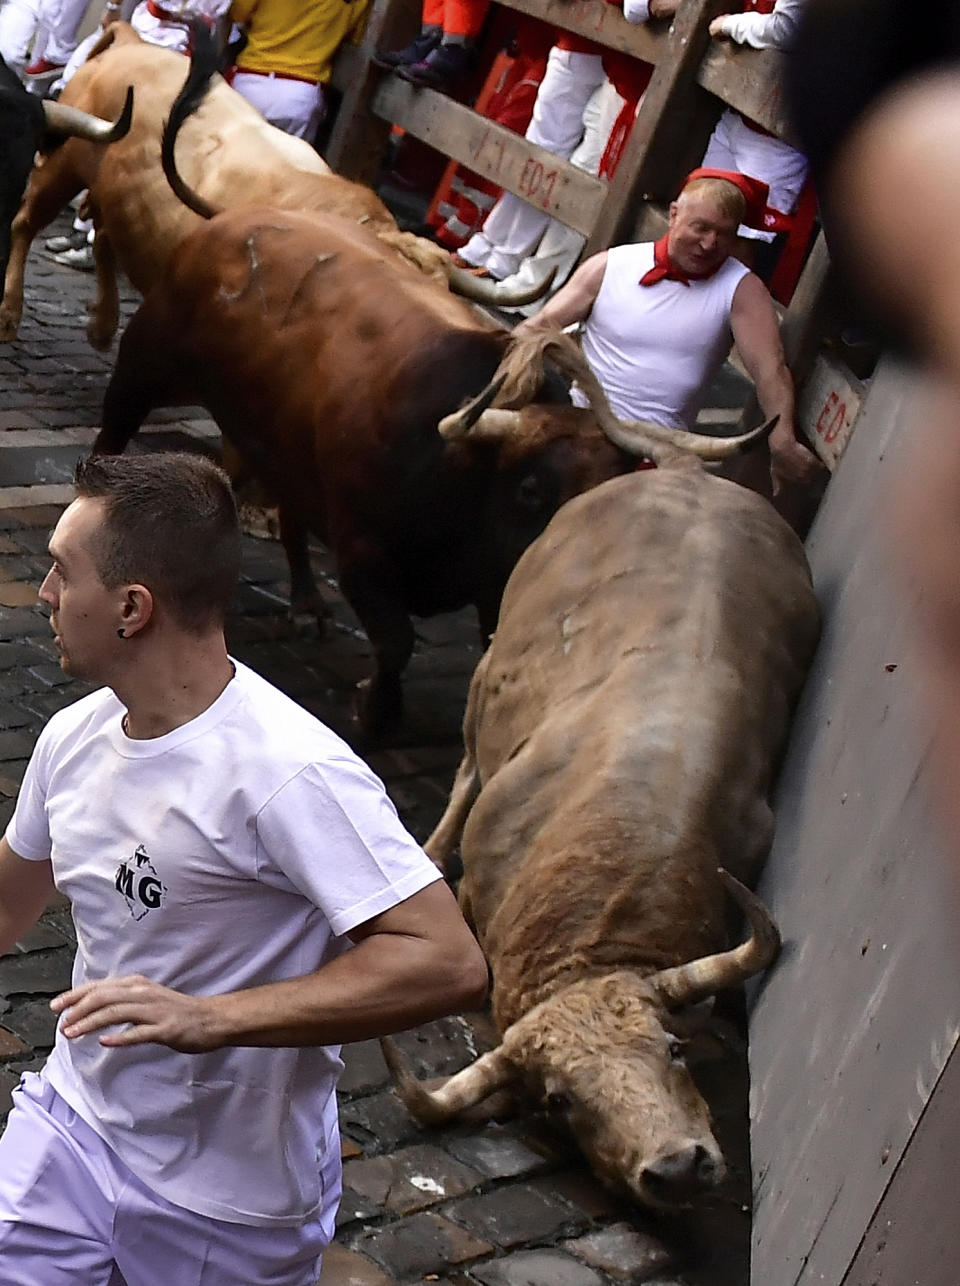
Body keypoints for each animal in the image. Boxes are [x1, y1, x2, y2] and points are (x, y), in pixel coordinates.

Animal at [0, 22, 529, 352]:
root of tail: (133, 44)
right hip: (62, 166)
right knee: (25, 223)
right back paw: (10, 313)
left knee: (106, 238)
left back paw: (102, 325)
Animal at [88, 207, 765, 740]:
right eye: (532, 491)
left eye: (618, 491)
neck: (464, 483)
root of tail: (232, 220)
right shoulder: (364, 554)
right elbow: (396, 643)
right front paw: (377, 712)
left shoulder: (499, 585)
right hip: (150, 356)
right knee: (115, 423)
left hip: (273, 436)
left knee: (289, 508)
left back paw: (307, 602)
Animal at [385, 450, 822, 1203]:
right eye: (560, 1099)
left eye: (673, 1050)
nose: (677, 1167)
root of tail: (684, 471)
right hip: (485, 676)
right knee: (467, 766)